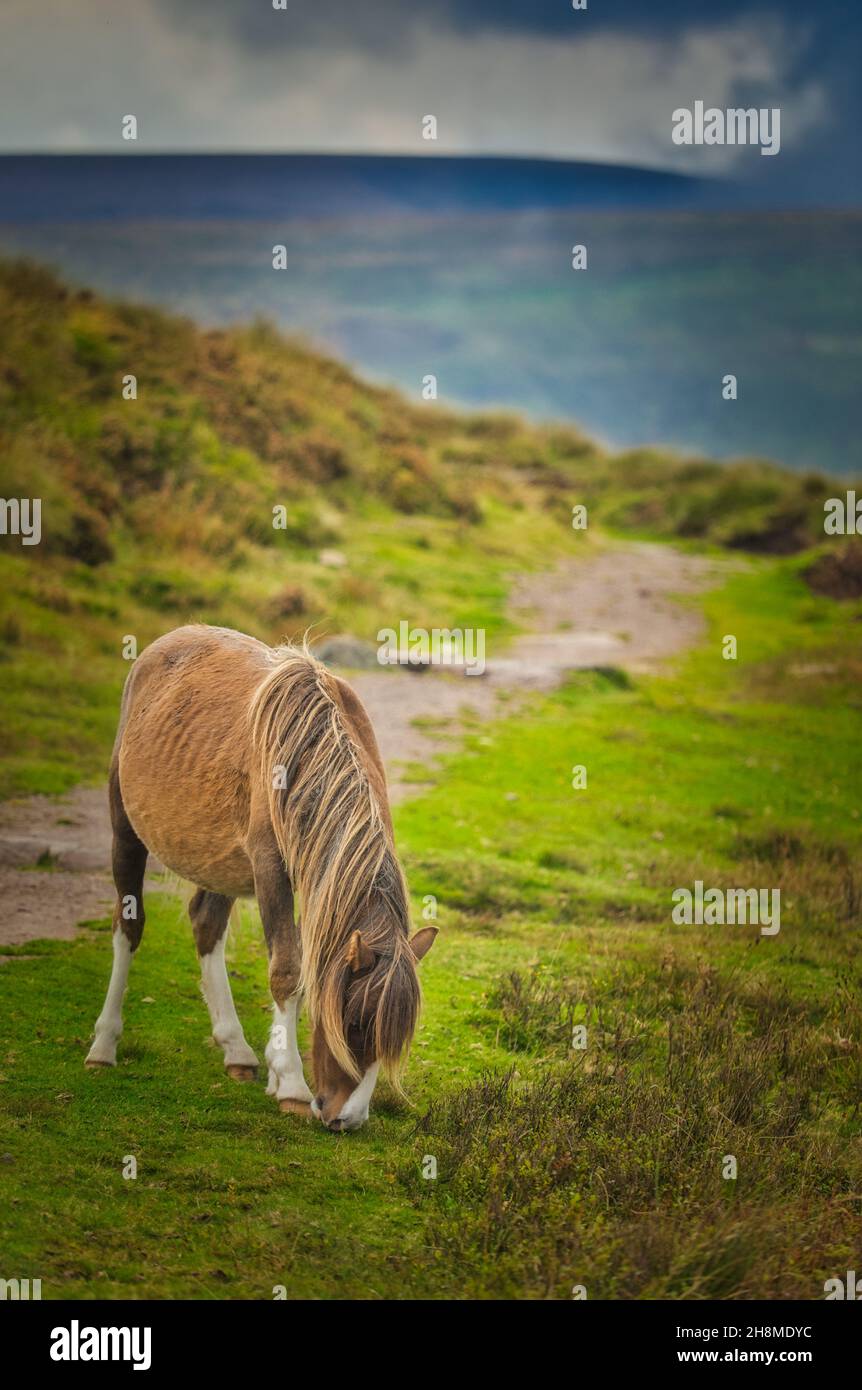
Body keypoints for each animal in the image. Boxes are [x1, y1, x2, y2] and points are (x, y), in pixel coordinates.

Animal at [85, 628, 436, 1128]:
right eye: (352, 1024)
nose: (347, 1120)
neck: (310, 754)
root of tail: (160, 647)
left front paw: (273, 1067)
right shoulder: (272, 870)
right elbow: (287, 970)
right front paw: (290, 1083)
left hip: (220, 862)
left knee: (206, 924)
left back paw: (236, 1050)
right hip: (126, 830)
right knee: (128, 927)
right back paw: (103, 1045)